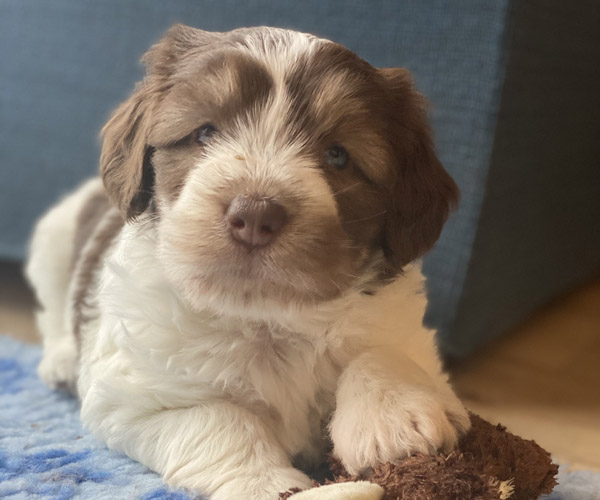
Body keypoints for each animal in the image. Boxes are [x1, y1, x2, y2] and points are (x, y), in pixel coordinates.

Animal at [26, 24, 470, 499]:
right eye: (204, 133)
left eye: (337, 155)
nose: (256, 215)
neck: (267, 317)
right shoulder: (133, 397)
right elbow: (220, 421)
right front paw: (265, 482)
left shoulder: (414, 343)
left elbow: (381, 352)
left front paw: (391, 420)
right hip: (53, 241)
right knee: (52, 310)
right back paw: (59, 359)